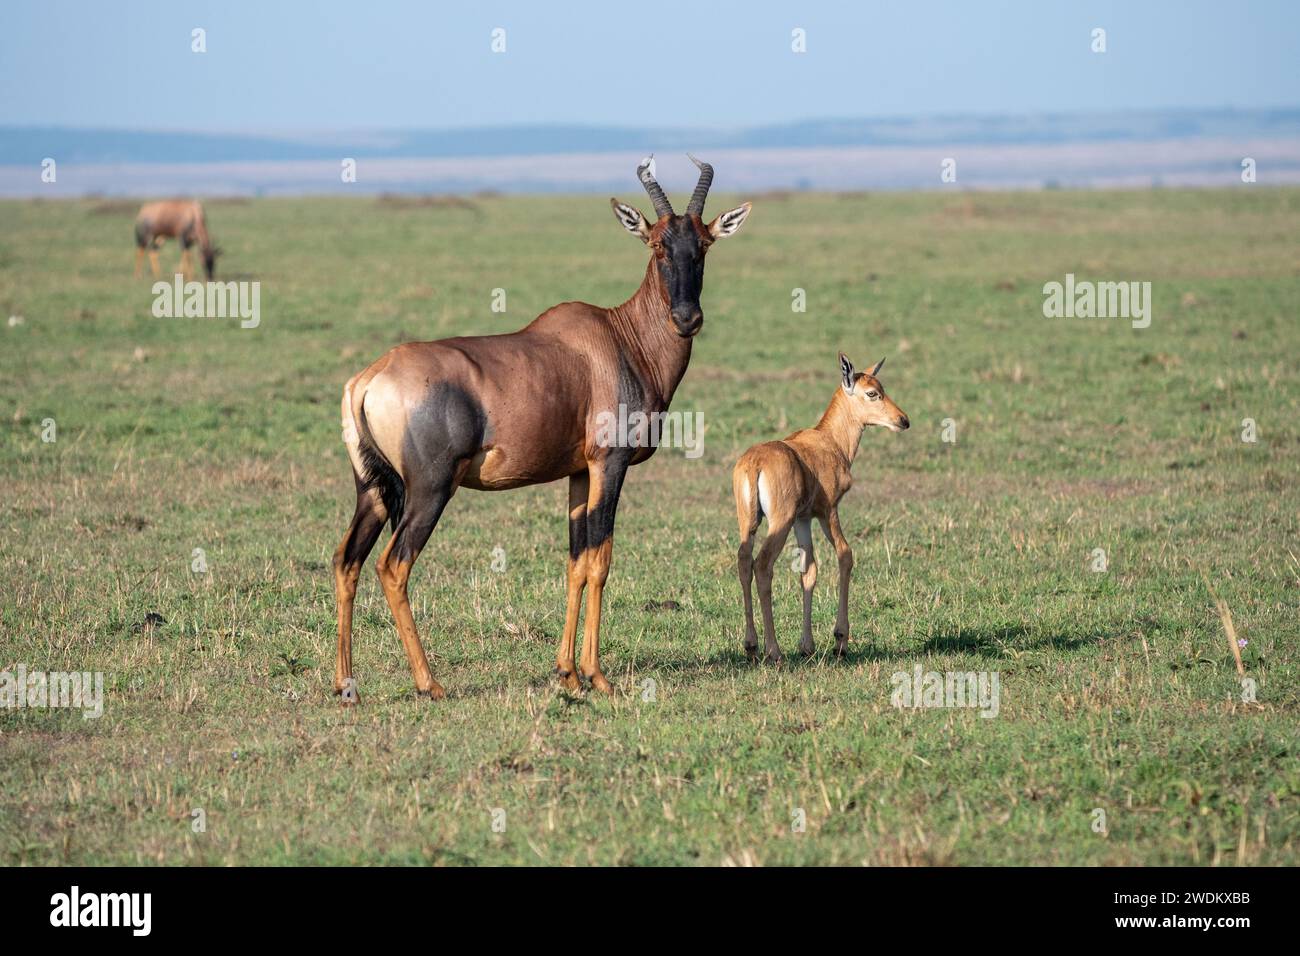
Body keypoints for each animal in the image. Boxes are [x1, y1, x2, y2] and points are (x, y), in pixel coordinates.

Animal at [335, 157, 754, 702]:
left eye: (702, 244)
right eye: (656, 244)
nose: (687, 319)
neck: (620, 338)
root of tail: (368, 379)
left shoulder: (578, 473)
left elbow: (575, 563)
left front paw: (567, 673)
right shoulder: (610, 464)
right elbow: (600, 560)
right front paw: (597, 676)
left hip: (373, 488)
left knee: (347, 561)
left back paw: (345, 684)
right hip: (429, 488)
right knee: (392, 565)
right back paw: (430, 684)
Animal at [738, 353, 909, 665]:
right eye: (872, 393)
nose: (903, 421)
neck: (827, 441)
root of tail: (755, 462)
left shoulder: (803, 519)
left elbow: (809, 570)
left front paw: (807, 645)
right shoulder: (828, 511)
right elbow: (845, 555)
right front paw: (840, 640)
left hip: (749, 523)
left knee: (744, 563)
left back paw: (752, 647)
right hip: (779, 524)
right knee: (763, 565)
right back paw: (774, 651)